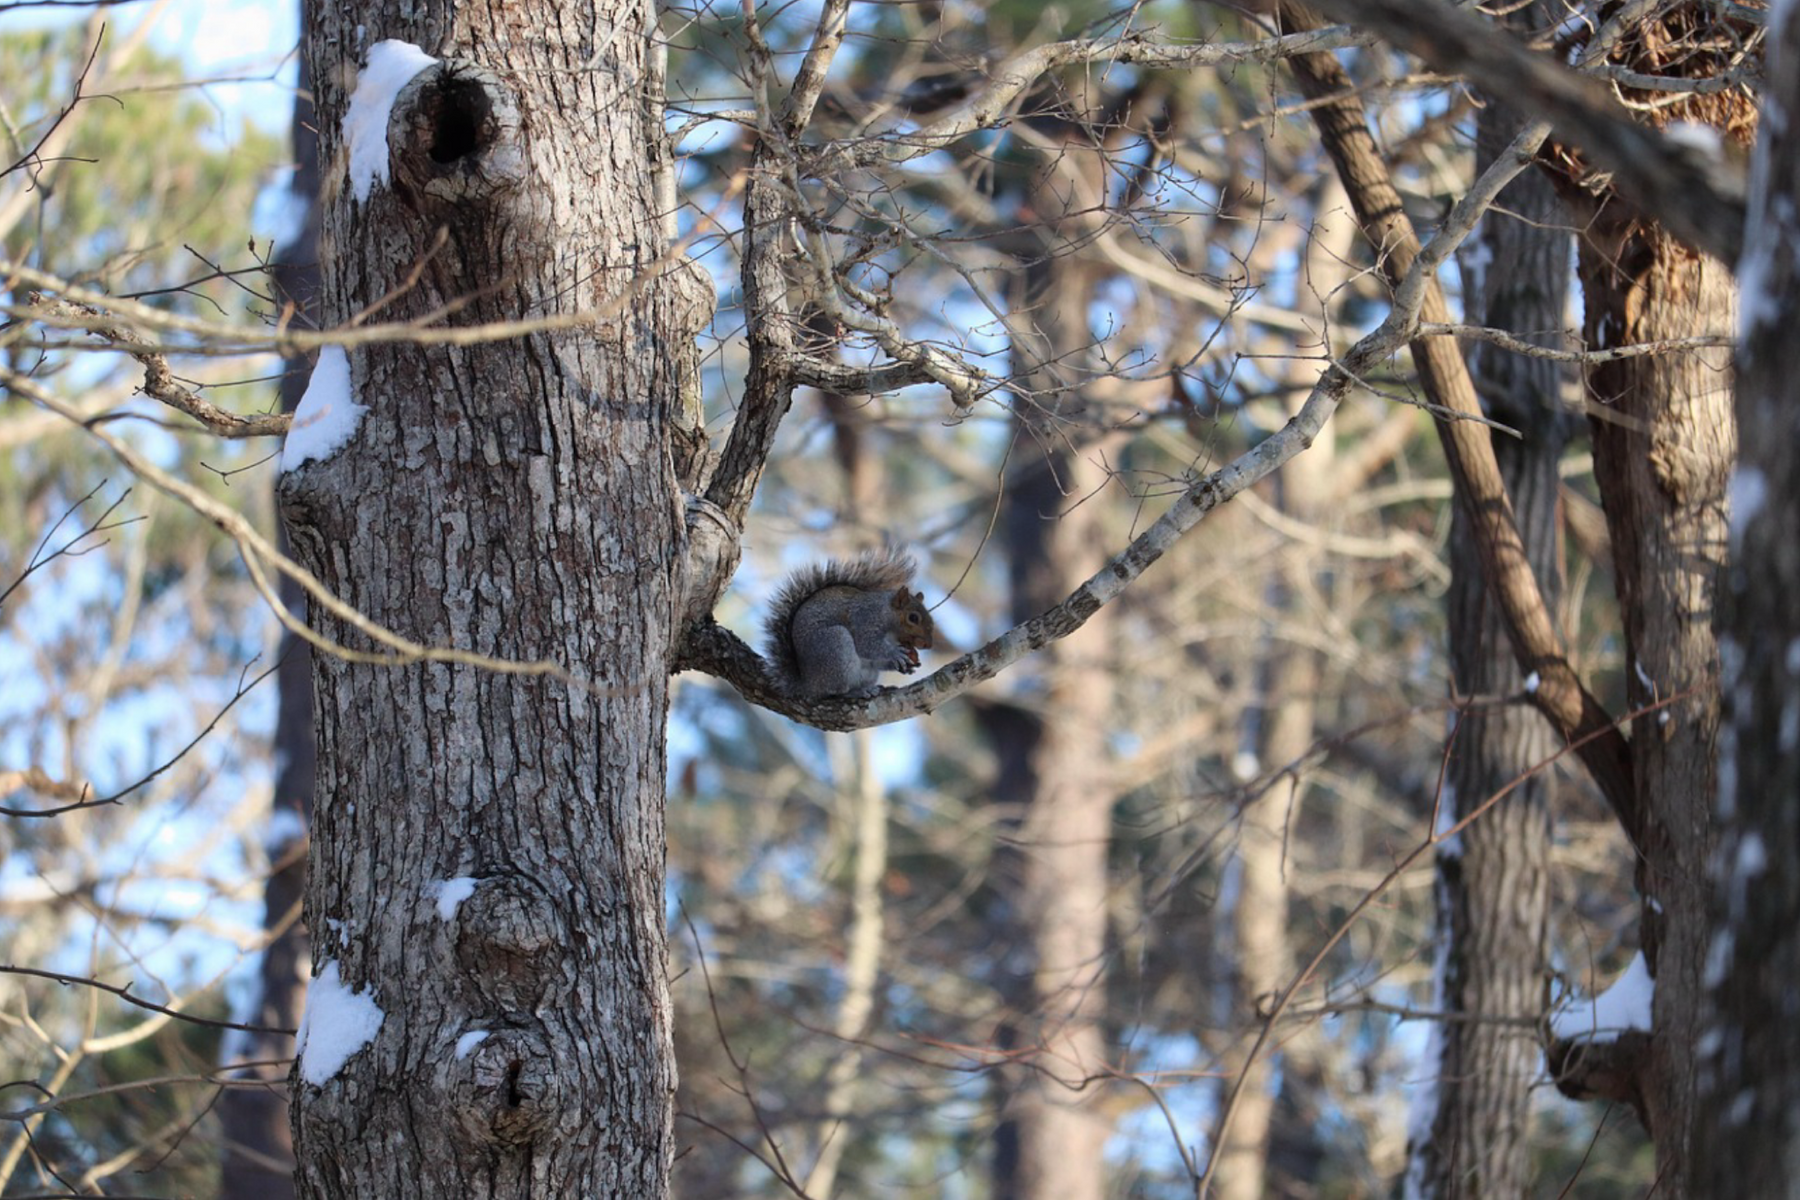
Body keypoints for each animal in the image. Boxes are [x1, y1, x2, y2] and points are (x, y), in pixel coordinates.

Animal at [763, 551, 935, 699]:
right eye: (913, 618)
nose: (928, 645)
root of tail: (808, 685)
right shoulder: (865, 619)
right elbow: (866, 644)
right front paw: (895, 654)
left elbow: (877, 659)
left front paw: (903, 666)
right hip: (835, 646)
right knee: (836, 691)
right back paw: (856, 692)